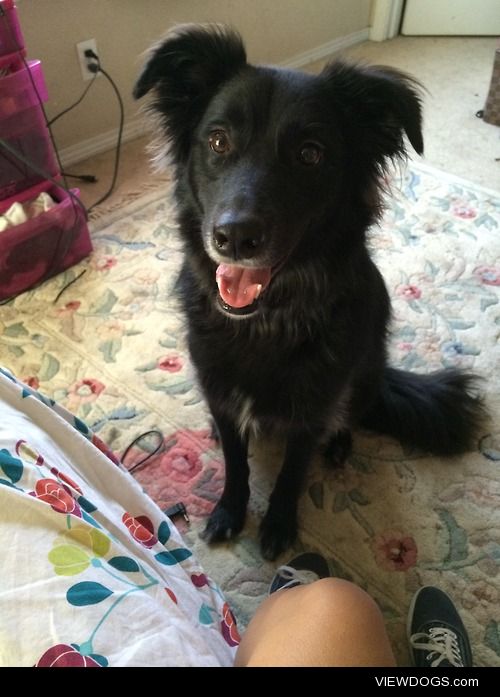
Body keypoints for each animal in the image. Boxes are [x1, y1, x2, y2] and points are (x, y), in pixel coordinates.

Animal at [135, 25, 486, 560]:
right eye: (217, 141)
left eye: (310, 154)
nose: (234, 237)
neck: (266, 321)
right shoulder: (219, 390)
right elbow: (236, 462)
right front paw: (229, 509)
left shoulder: (314, 407)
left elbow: (293, 471)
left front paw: (278, 525)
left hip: (363, 376)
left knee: (350, 417)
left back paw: (339, 445)